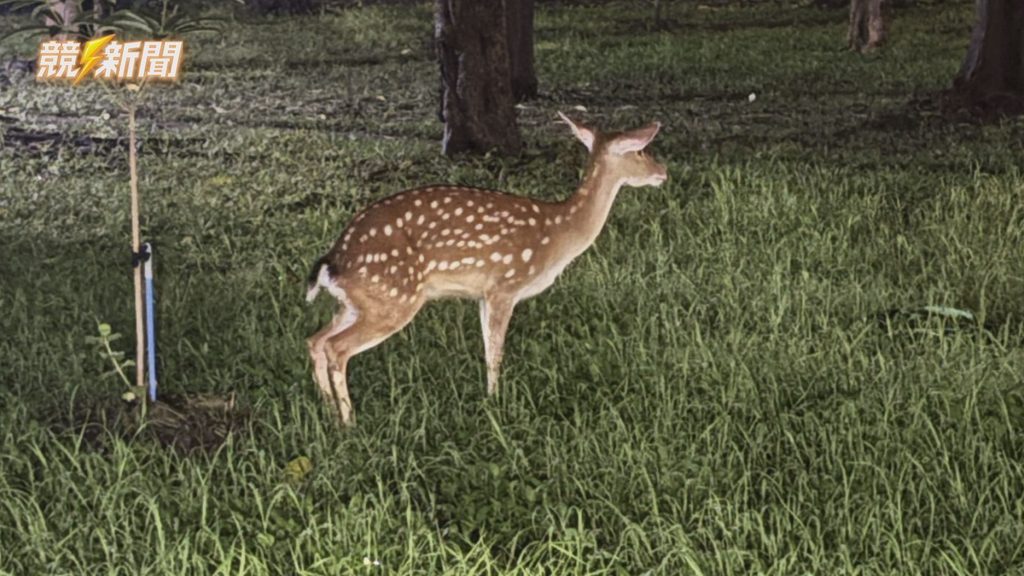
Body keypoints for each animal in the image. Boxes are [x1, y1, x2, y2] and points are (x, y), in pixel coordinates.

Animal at [305, 113, 667, 425]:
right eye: (640, 150)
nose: (663, 171)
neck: (559, 233)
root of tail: (333, 261)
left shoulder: (481, 294)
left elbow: (485, 348)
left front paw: (489, 399)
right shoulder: (504, 285)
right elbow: (495, 352)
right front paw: (496, 402)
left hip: (361, 301)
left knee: (316, 340)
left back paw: (329, 413)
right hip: (393, 297)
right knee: (337, 347)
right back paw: (349, 421)